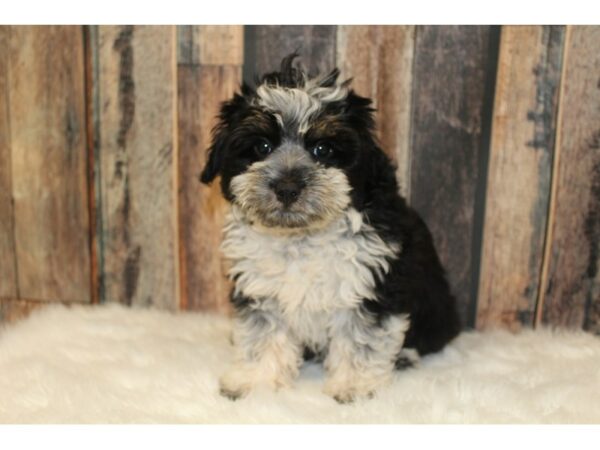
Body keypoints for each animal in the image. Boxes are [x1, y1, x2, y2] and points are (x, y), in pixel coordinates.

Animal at [200, 53, 460, 404]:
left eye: (323, 150)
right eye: (262, 147)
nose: (287, 188)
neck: (302, 236)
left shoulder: (372, 285)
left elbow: (362, 338)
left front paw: (354, 387)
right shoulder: (261, 289)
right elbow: (262, 335)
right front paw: (257, 383)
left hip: (436, 305)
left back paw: (405, 356)